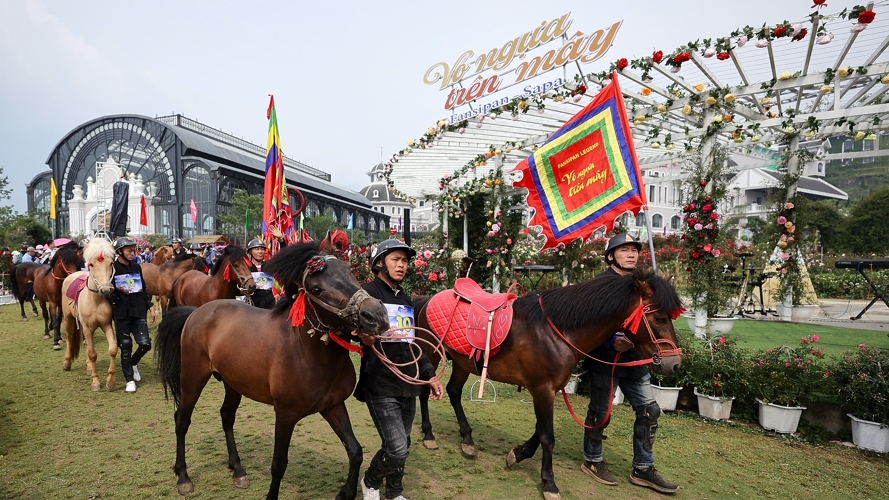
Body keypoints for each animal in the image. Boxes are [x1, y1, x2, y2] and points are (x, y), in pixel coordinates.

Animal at [59, 240, 117, 392]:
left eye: (111, 263)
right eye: (91, 264)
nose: (106, 290)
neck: (95, 300)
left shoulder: (106, 325)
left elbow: (113, 350)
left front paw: (110, 380)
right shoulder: (87, 328)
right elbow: (92, 354)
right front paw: (95, 382)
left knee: (85, 343)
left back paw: (89, 367)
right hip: (68, 319)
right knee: (69, 337)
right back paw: (67, 363)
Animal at [155, 240, 388, 498]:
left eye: (350, 271)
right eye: (316, 289)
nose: (376, 314)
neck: (306, 350)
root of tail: (195, 312)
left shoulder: (333, 406)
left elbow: (355, 451)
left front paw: (346, 492)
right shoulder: (285, 414)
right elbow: (279, 464)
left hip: (232, 383)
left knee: (226, 417)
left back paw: (237, 469)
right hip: (193, 378)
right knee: (182, 420)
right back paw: (183, 476)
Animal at [412, 272, 684, 498]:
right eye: (660, 318)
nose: (675, 364)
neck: (555, 331)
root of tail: (428, 299)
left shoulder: (547, 389)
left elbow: (539, 430)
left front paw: (518, 454)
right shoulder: (542, 389)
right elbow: (547, 437)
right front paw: (549, 483)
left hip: (463, 362)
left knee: (453, 392)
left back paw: (467, 439)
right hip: (431, 354)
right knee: (425, 391)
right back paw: (429, 434)